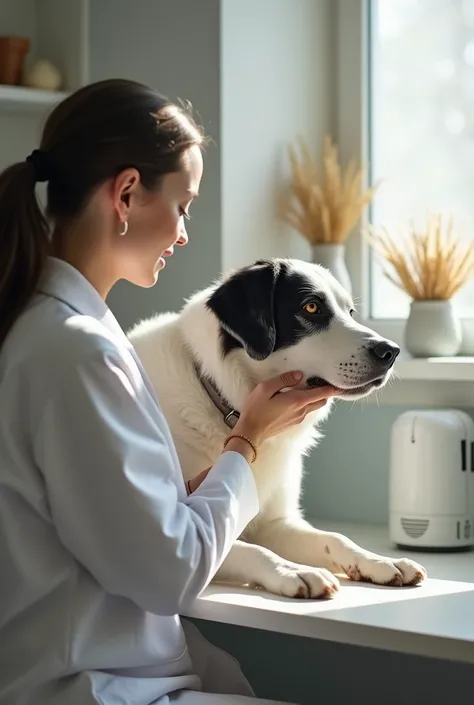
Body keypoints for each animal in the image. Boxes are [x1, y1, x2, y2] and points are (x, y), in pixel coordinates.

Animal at [129, 256, 426, 596]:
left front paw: (378, 562)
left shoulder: (276, 524)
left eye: (350, 312)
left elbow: (335, 538)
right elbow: (251, 550)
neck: (225, 405)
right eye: (311, 307)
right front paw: (292, 571)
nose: (390, 351)